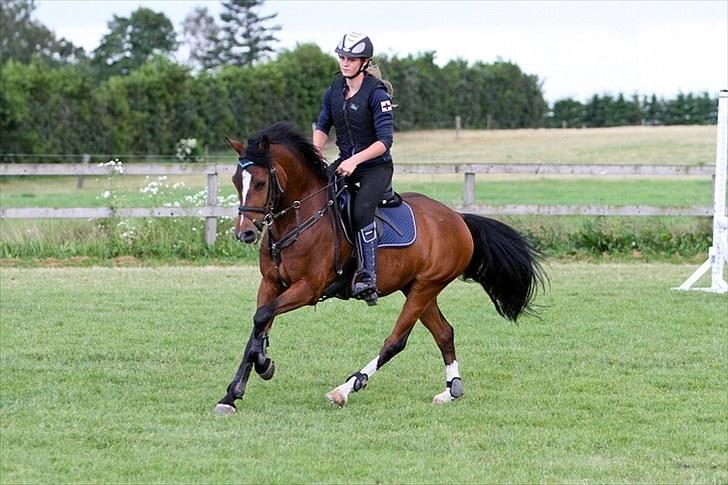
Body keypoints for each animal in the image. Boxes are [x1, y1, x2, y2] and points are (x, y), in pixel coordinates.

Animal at [213, 122, 544, 412]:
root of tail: (457, 218)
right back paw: (451, 392)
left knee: (396, 341)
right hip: (417, 288)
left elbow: (262, 317)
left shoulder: (308, 289)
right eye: (235, 181)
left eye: (260, 182)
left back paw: (345, 389)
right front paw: (235, 391)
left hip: (426, 286)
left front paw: (263, 365)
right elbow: (258, 324)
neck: (297, 219)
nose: (245, 233)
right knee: (444, 333)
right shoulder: (271, 283)